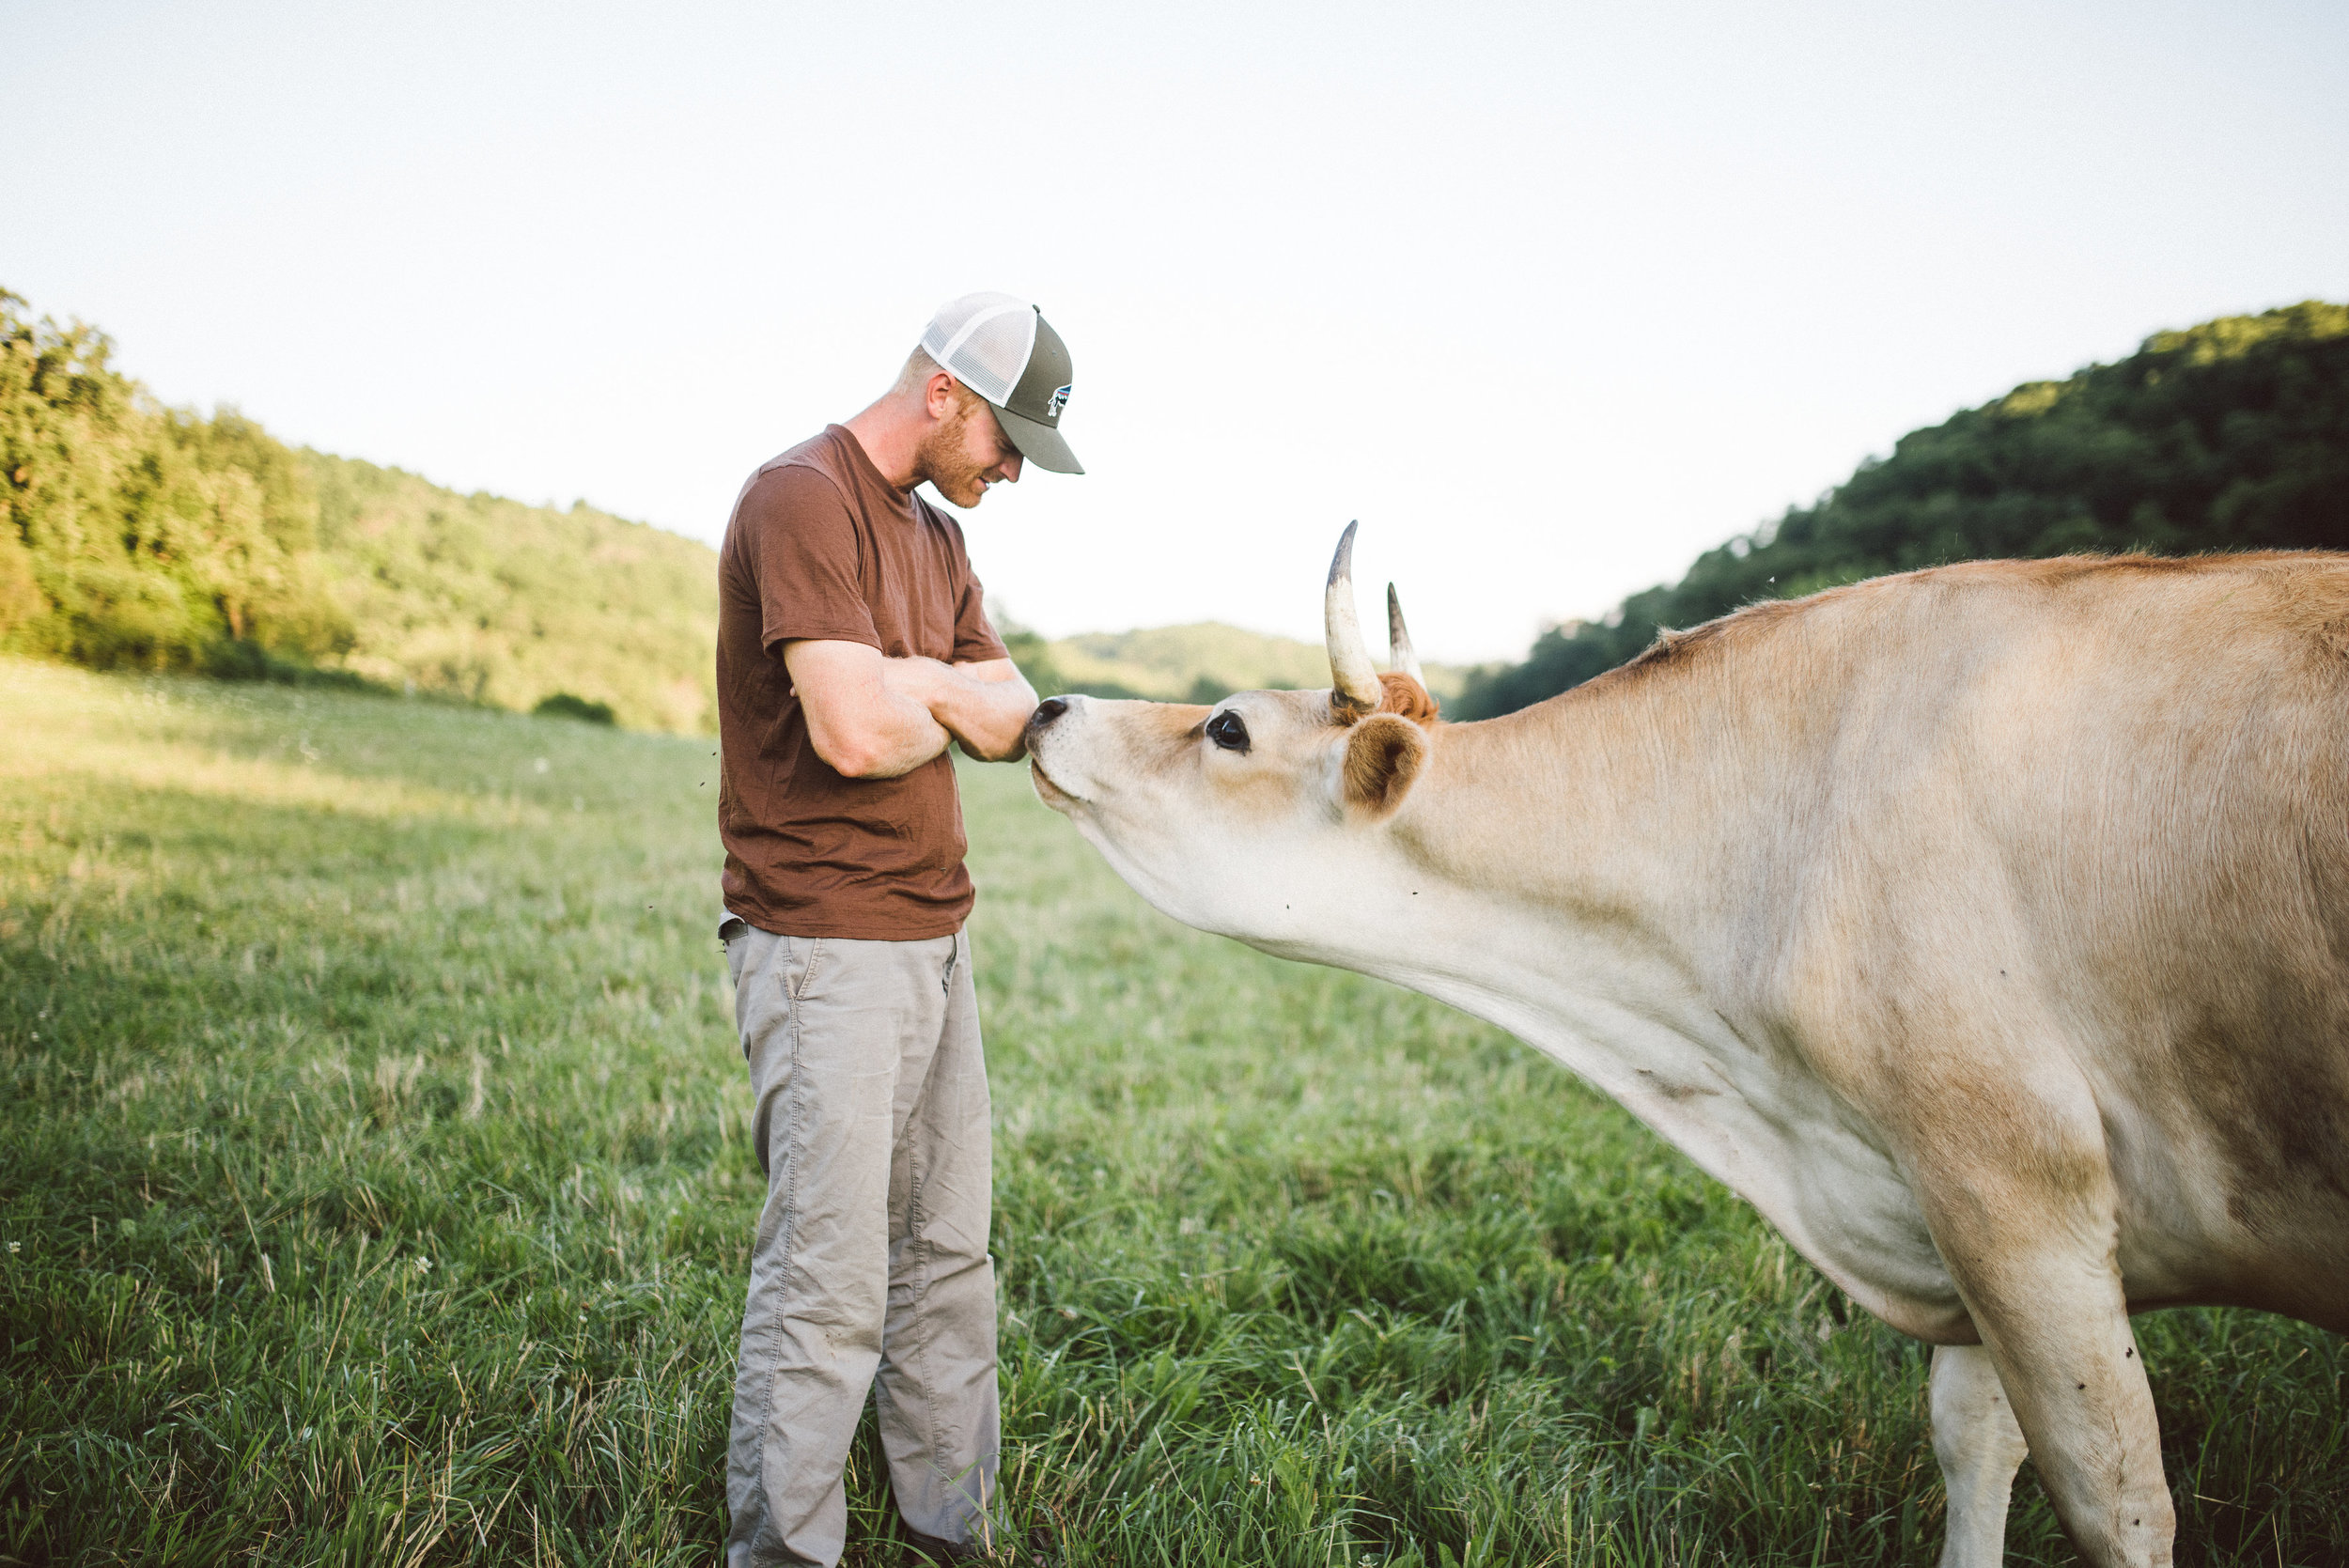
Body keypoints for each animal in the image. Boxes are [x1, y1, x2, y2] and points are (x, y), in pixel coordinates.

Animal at [1024, 525, 2349, 1568]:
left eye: (1229, 726)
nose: (1046, 702)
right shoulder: (1945, 1213)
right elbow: (1977, 1446)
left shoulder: (2012, 1180)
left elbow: (2116, 1501)